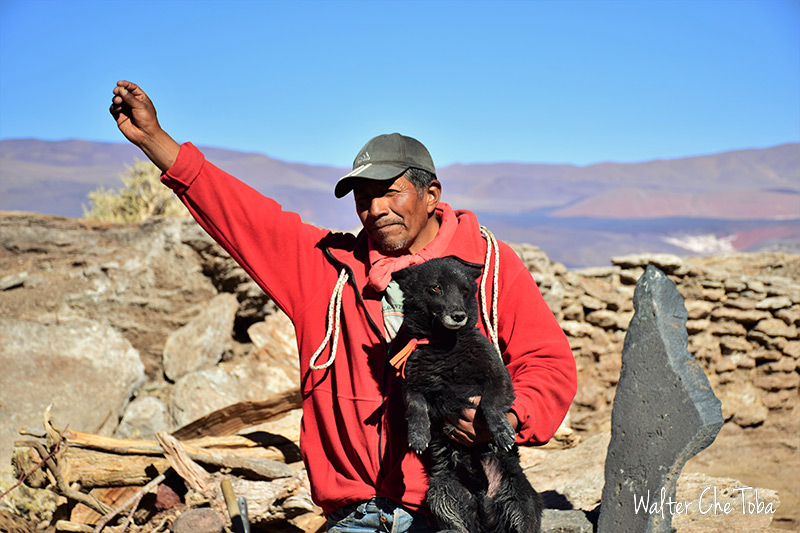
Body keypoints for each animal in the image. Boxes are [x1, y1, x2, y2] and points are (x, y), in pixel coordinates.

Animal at [392, 258, 544, 532]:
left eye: (464, 290)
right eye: (436, 288)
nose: (458, 315)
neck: (444, 345)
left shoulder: (497, 377)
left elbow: (491, 405)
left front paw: (502, 431)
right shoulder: (413, 382)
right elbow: (415, 407)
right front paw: (418, 435)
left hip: (520, 502)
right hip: (442, 494)